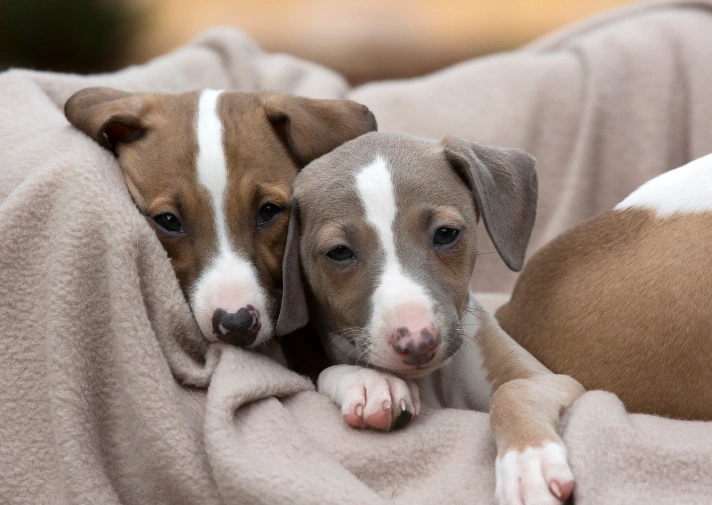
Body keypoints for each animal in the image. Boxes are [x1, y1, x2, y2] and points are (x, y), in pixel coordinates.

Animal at [280, 132, 588, 502]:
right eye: (339, 252)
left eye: (446, 233)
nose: (417, 342)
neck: (435, 381)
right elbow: (324, 372)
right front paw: (370, 383)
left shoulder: (552, 380)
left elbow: (514, 391)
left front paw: (528, 464)